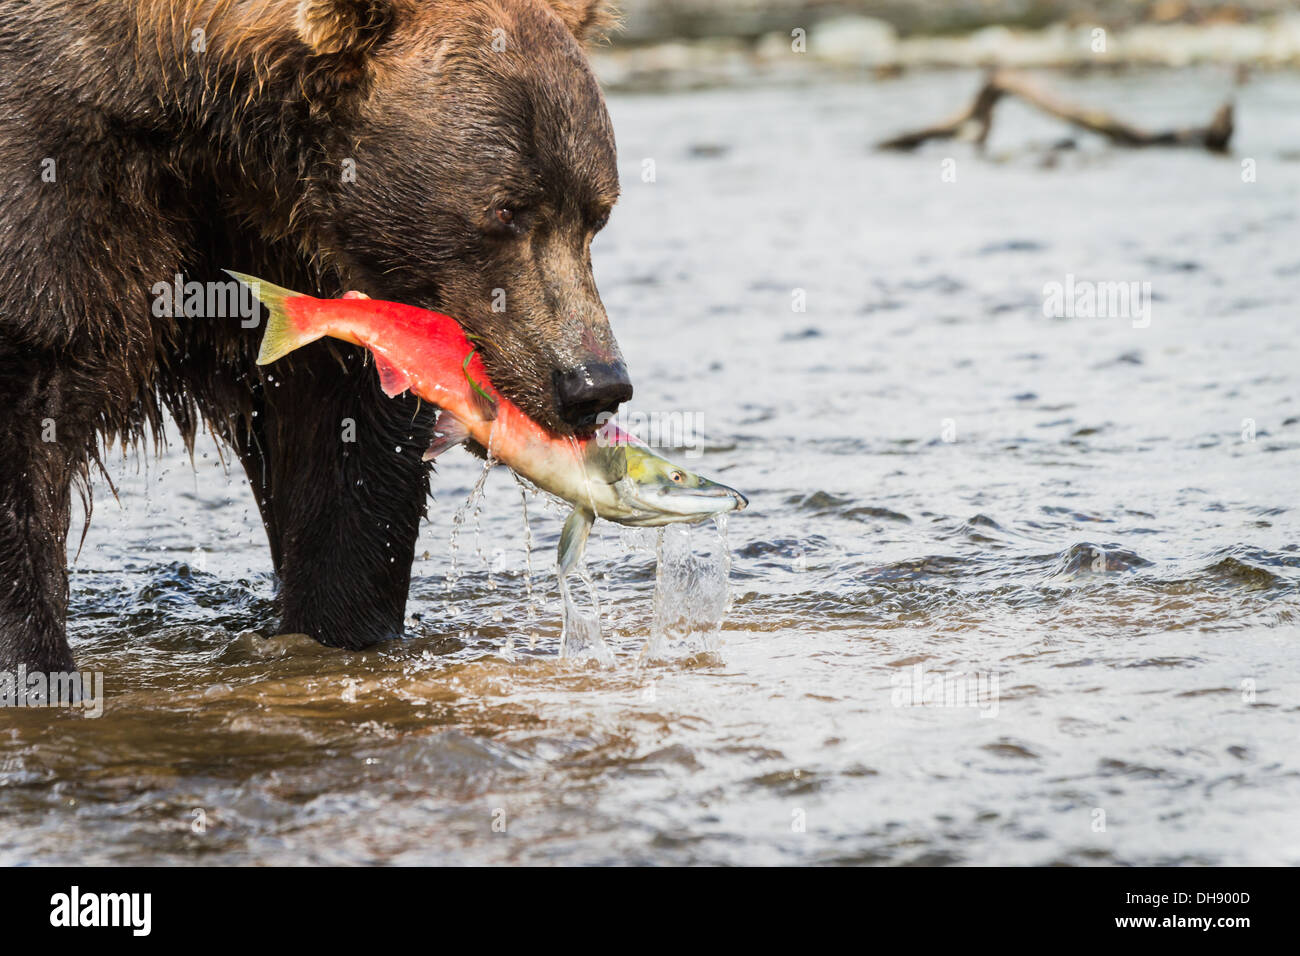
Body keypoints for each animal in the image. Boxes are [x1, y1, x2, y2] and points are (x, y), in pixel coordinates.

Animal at [0, 0, 629, 671]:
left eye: (597, 214)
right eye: (506, 210)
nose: (594, 384)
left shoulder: (298, 259)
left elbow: (344, 453)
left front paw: (335, 626)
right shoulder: (59, 180)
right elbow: (26, 422)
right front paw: (33, 658)